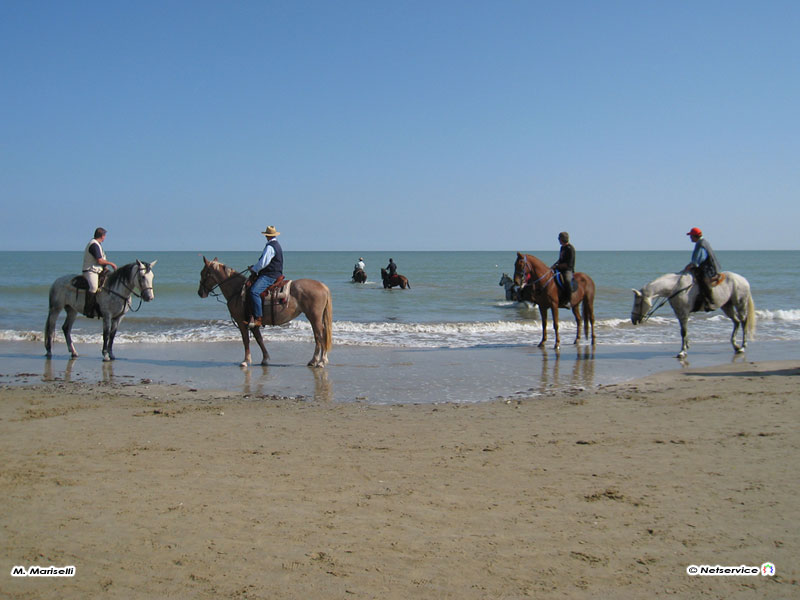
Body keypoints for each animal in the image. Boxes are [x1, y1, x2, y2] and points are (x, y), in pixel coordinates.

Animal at [197, 257, 332, 368]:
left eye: (203, 273)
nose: (200, 292)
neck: (237, 291)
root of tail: (323, 286)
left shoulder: (241, 322)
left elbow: (246, 340)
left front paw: (246, 360)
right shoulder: (253, 323)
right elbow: (259, 339)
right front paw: (265, 359)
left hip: (314, 317)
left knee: (321, 335)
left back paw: (321, 361)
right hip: (314, 317)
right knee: (318, 336)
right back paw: (315, 361)